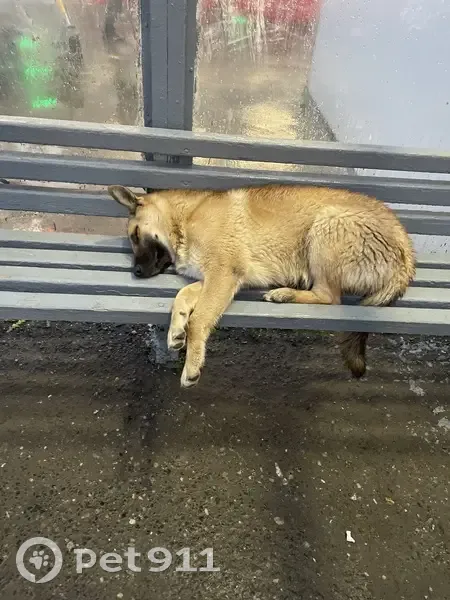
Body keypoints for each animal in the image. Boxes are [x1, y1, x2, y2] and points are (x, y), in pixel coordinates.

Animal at [108, 184, 415, 388]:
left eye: (135, 234)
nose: (136, 272)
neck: (184, 218)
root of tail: (406, 253)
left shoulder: (222, 275)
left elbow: (199, 320)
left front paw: (192, 364)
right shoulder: (217, 280)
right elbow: (183, 296)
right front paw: (176, 330)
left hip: (327, 223)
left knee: (330, 297)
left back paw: (285, 294)